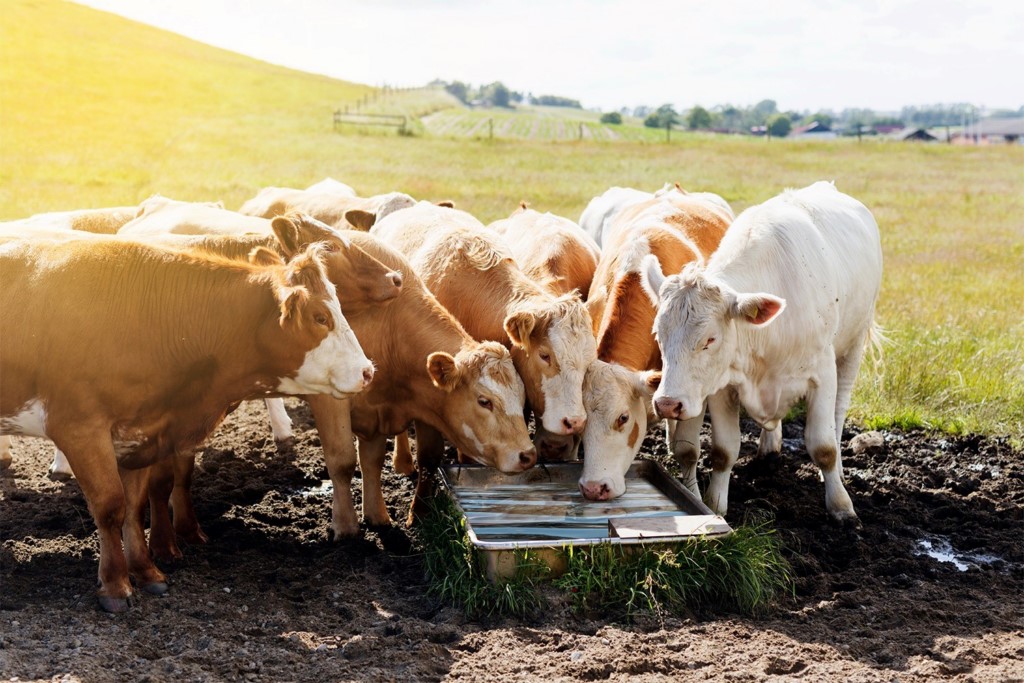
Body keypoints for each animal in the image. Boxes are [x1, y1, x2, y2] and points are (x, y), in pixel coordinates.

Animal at [0, 232, 376, 610]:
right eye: (320, 317)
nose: (368, 371)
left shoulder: (141, 433)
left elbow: (134, 507)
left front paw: (146, 571)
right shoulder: (80, 427)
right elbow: (110, 506)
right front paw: (116, 585)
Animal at [647, 181, 880, 524]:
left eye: (710, 339)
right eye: (659, 335)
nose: (666, 404)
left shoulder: (822, 374)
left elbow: (824, 447)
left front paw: (841, 507)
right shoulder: (723, 385)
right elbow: (724, 450)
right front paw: (715, 506)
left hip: (852, 346)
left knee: (838, 416)